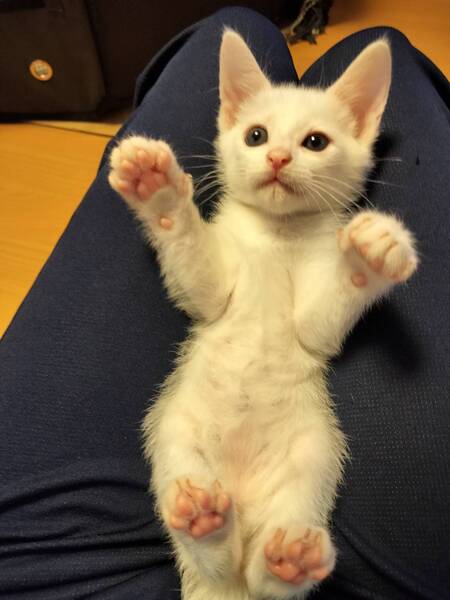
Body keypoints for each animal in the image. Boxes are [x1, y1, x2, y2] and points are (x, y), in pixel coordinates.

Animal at [108, 30, 418, 600]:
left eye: (314, 142)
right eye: (256, 135)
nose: (275, 156)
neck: (278, 234)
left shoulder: (316, 329)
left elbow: (319, 324)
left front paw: (369, 257)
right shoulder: (209, 293)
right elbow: (199, 280)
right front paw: (159, 192)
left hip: (316, 456)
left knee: (259, 575)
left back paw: (286, 559)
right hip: (171, 432)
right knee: (215, 557)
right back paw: (204, 521)